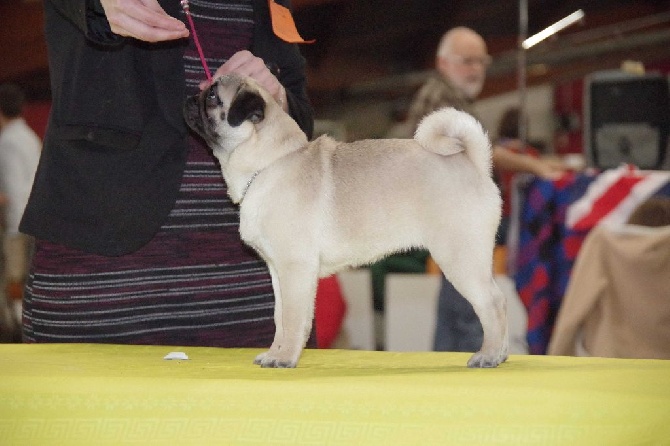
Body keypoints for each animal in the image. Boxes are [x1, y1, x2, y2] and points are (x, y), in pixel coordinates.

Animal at [184, 74, 510, 370]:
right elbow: (281, 318)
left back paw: (489, 355)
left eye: (212, 97)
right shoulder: (278, 271)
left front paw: (285, 357)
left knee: (493, 303)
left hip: (460, 258)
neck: (270, 164)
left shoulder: (295, 268)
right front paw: (275, 352)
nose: (190, 96)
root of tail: (473, 163)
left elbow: (293, 318)